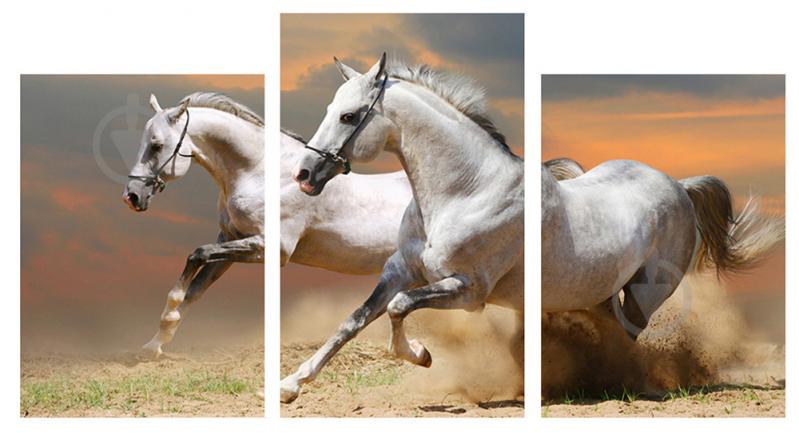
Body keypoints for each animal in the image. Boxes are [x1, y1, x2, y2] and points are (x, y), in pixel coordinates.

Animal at [123, 92, 264, 358]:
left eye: (157, 146)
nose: (131, 197)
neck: (256, 173)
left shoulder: (264, 246)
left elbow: (197, 254)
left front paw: (169, 315)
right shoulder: (233, 240)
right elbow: (197, 288)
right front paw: (155, 343)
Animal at [281, 54, 524, 403]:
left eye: (348, 116)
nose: (302, 174)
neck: (466, 192)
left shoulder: (467, 290)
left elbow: (399, 307)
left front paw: (420, 354)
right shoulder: (401, 271)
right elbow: (355, 320)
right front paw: (292, 383)